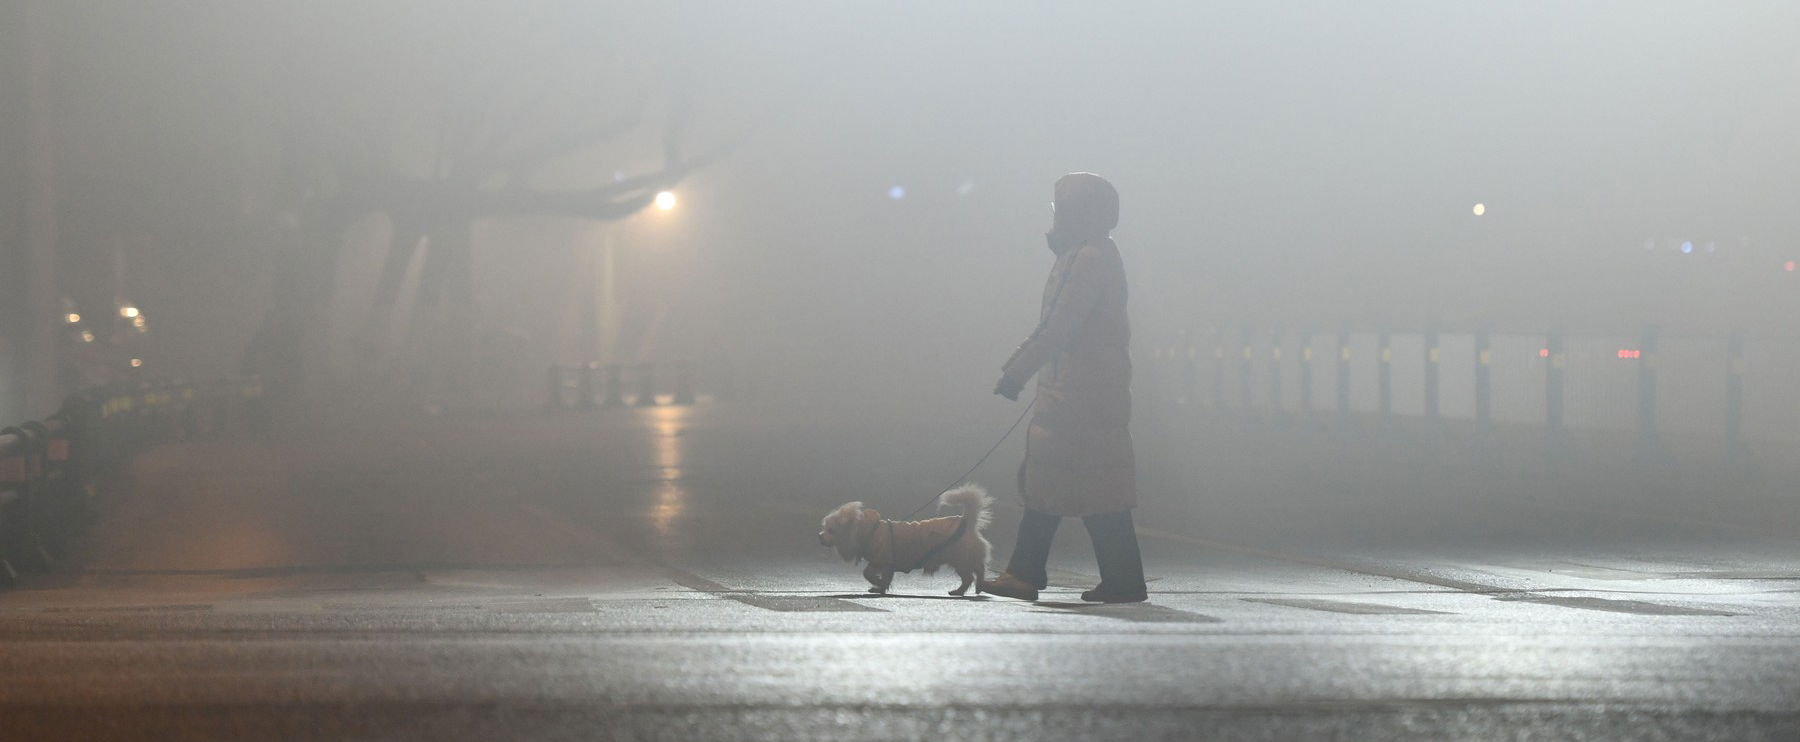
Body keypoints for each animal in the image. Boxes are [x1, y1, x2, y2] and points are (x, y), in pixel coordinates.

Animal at [820, 482, 993, 594]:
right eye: (824, 528)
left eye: (831, 530)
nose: (819, 536)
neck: (869, 531)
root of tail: (967, 521)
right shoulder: (881, 562)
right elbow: (875, 575)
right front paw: (880, 587)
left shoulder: (883, 561)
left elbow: (870, 574)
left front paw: (878, 584)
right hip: (963, 559)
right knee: (975, 573)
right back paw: (973, 588)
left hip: (961, 559)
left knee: (973, 574)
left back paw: (963, 590)